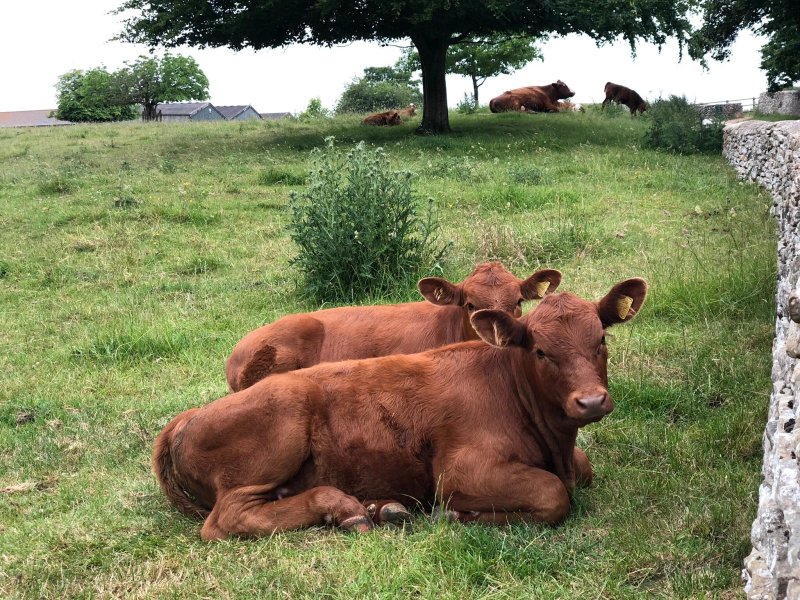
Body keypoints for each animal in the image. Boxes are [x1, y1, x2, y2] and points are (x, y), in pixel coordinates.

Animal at [153, 278, 648, 540]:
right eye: (541, 351)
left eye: (601, 340)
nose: (590, 400)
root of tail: (186, 417)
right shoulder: (461, 471)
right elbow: (553, 494)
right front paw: (459, 515)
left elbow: (582, 470)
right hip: (280, 425)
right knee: (227, 518)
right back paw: (343, 506)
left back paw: (379, 507)